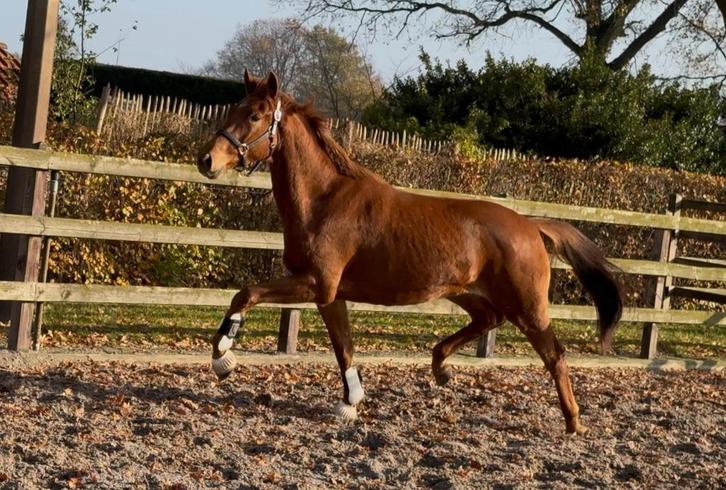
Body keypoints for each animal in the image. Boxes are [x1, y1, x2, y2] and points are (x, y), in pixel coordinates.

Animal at [197, 71, 623, 435]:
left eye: (254, 115)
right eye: (233, 109)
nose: (206, 160)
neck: (323, 200)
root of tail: (530, 225)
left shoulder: (315, 284)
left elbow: (245, 294)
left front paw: (223, 357)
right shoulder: (329, 294)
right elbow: (344, 347)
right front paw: (351, 402)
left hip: (528, 307)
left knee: (555, 355)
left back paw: (573, 422)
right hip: (465, 292)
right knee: (488, 319)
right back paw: (441, 368)